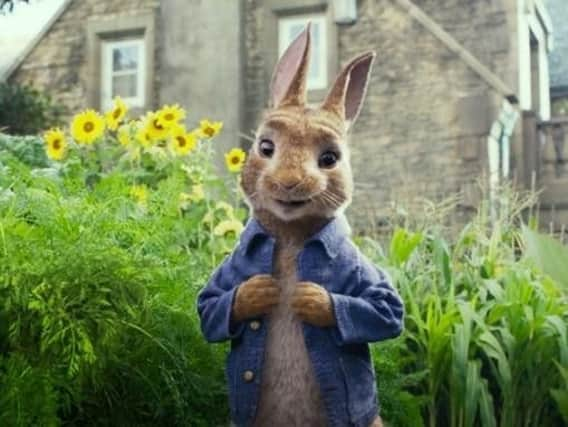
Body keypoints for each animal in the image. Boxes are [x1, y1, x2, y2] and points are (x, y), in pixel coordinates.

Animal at [200, 22, 404, 427]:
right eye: (265, 147)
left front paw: (306, 297)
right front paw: (261, 290)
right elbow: (211, 305)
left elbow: (384, 309)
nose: (290, 182)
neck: (292, 236)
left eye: (330, 158)